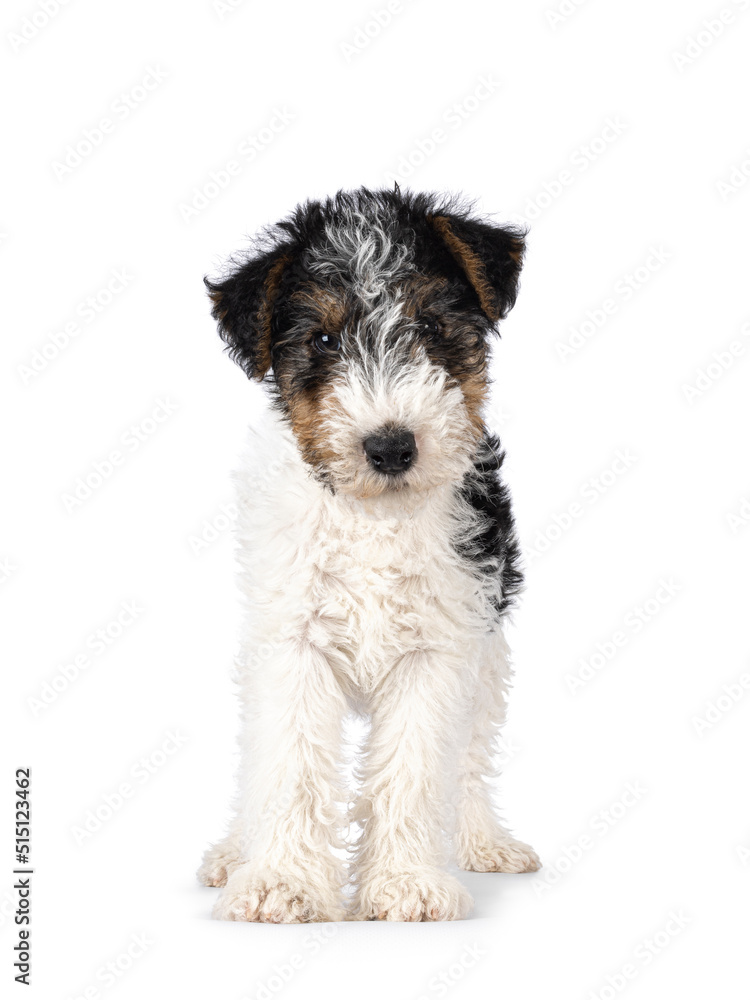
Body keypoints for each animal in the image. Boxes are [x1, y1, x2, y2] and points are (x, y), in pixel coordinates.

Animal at [197, 187, 540, 922]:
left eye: (431, 325)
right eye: (323, 339)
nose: (390, 447)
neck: (374, 516)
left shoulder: (440, 649)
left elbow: (415, 768)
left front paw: (406, 882)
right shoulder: (293, 644)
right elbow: (291, 765)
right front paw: (281, 883)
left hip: (489, 658)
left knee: (470, 760)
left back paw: (484, 841)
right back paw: (236, 853)